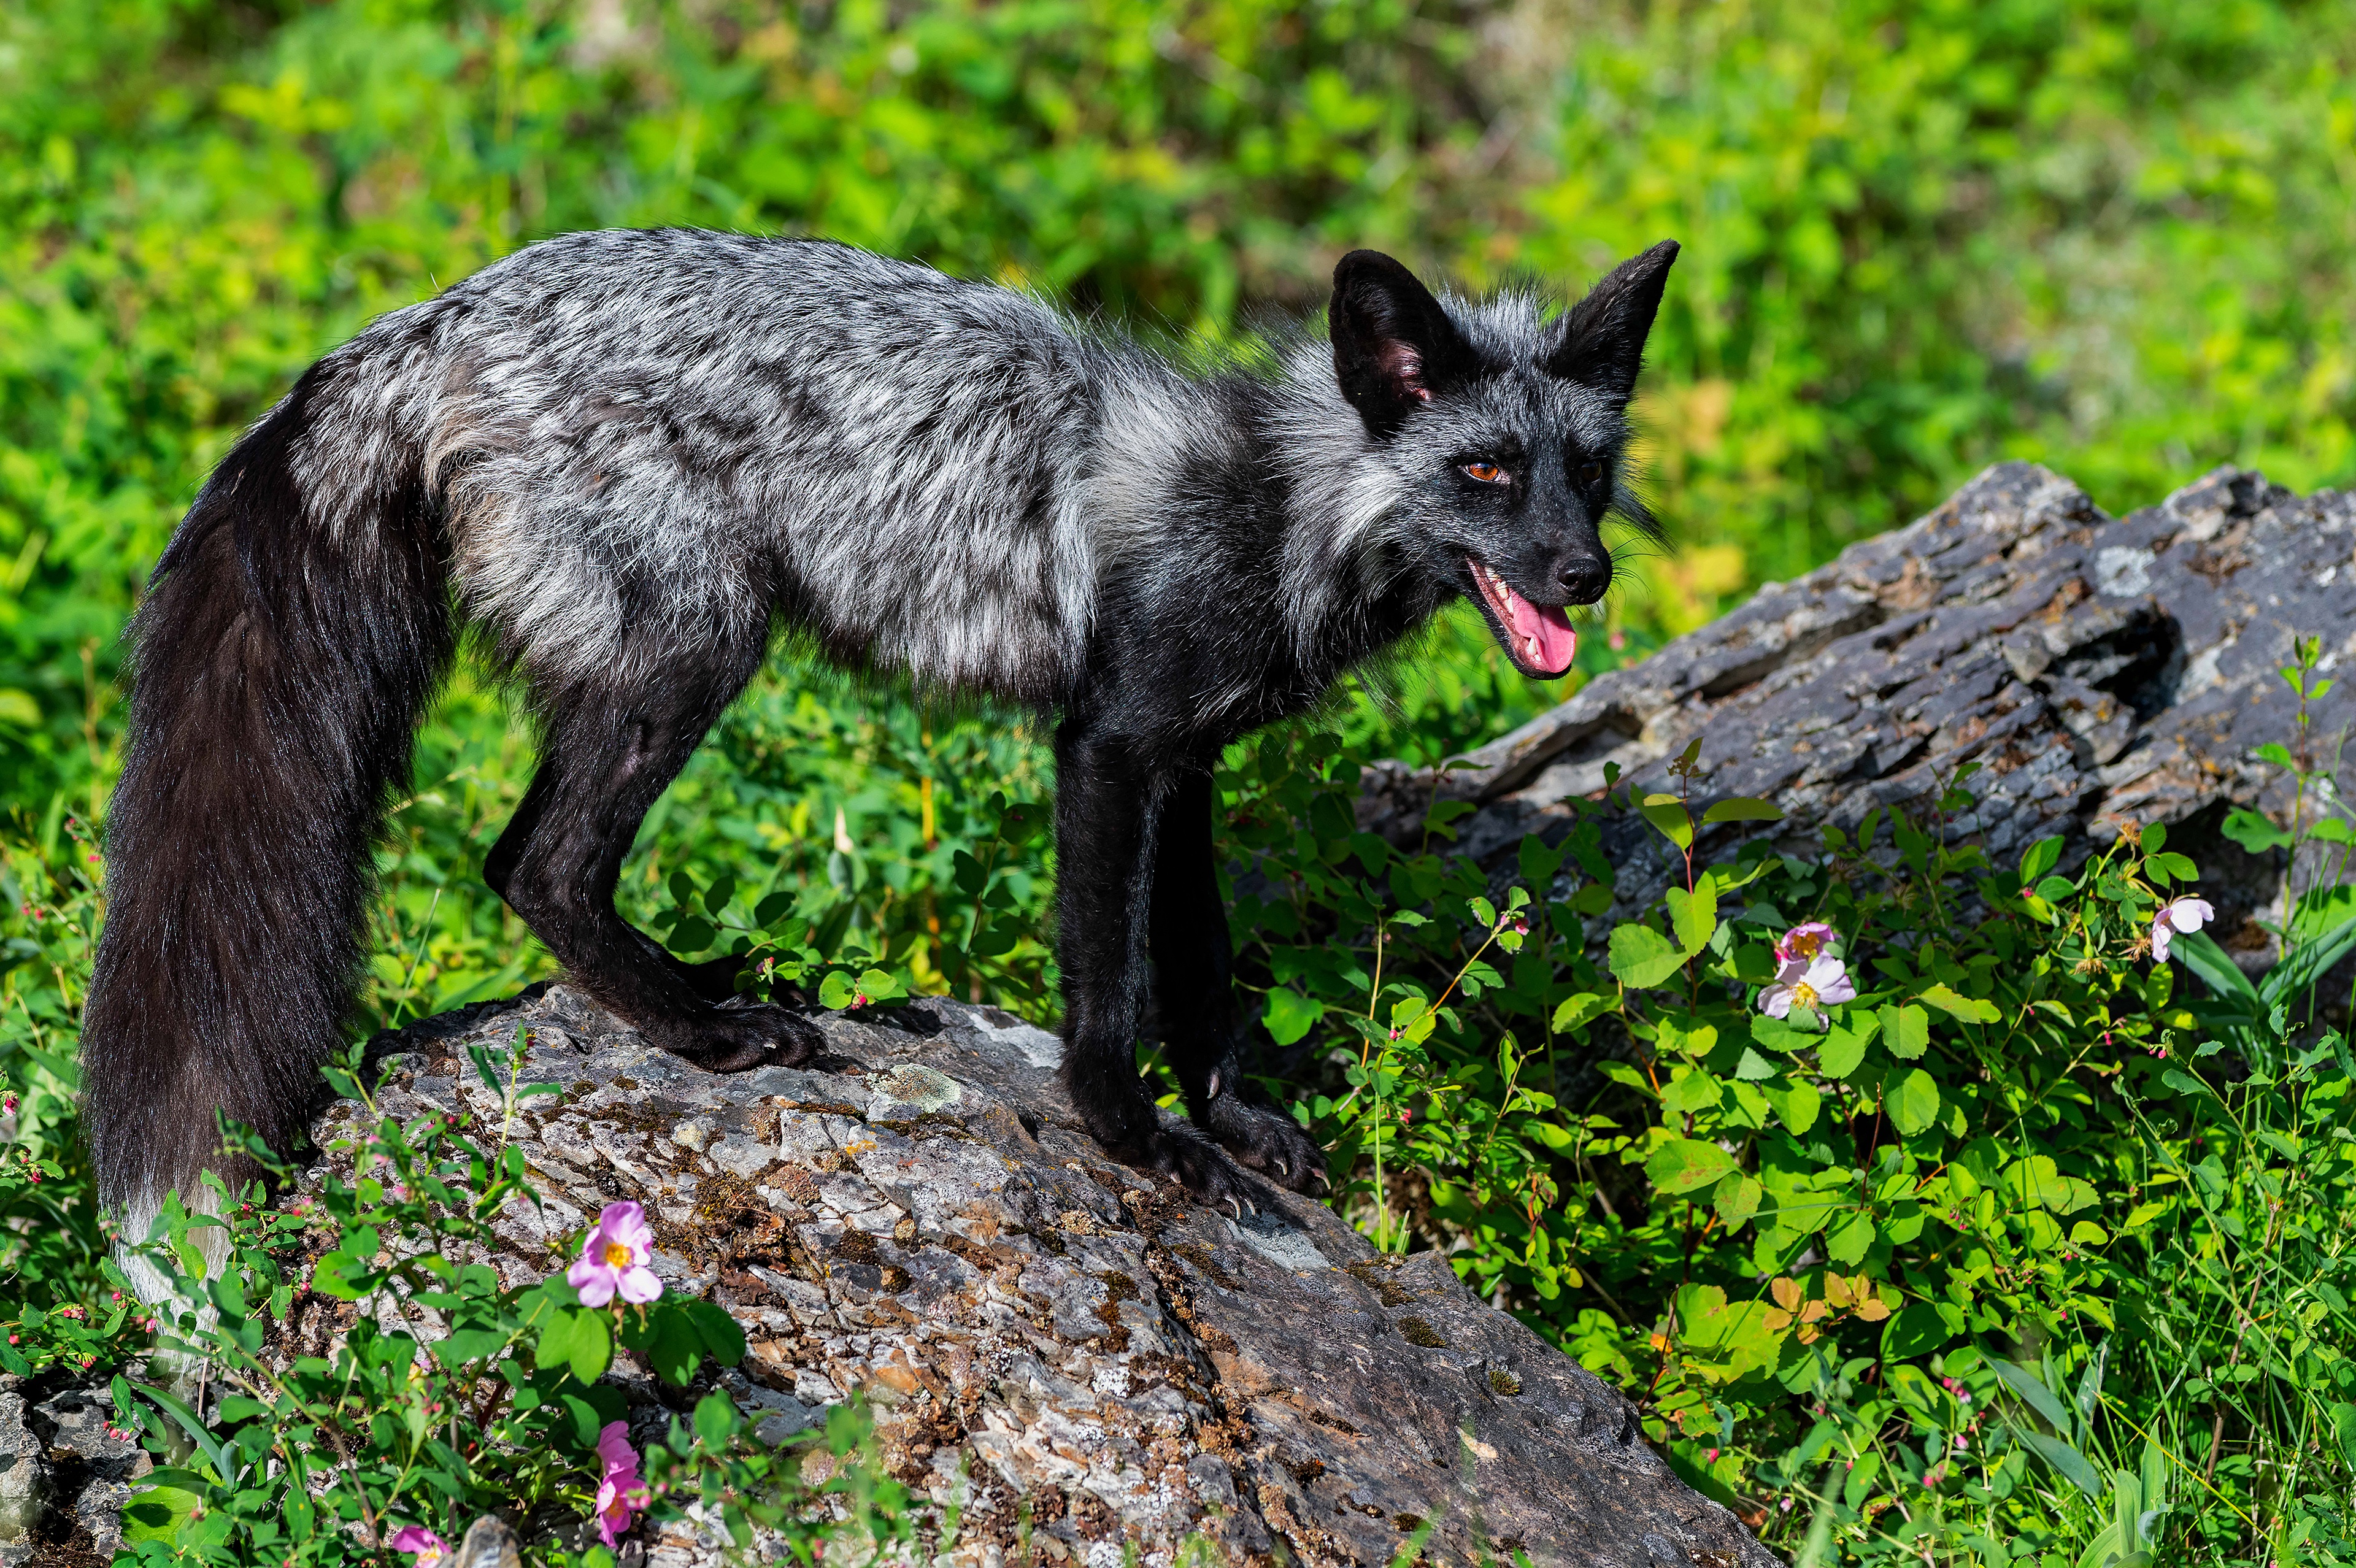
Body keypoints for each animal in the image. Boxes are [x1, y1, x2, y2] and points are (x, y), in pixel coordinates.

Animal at [87, 222, 1677, 1243]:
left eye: (1587, 474)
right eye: (1482, 473)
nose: (1583, 578)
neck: (1270, 510)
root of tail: (431, 319)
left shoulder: (1189, 763)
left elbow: (1203, 973)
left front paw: (1234, 1126)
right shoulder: (1109, 747)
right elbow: (1111, 995)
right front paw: (1141, 1142)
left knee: (533, 863)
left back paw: (704, 984)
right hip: (693, 656)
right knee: (530, 865)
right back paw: (705, 1033)